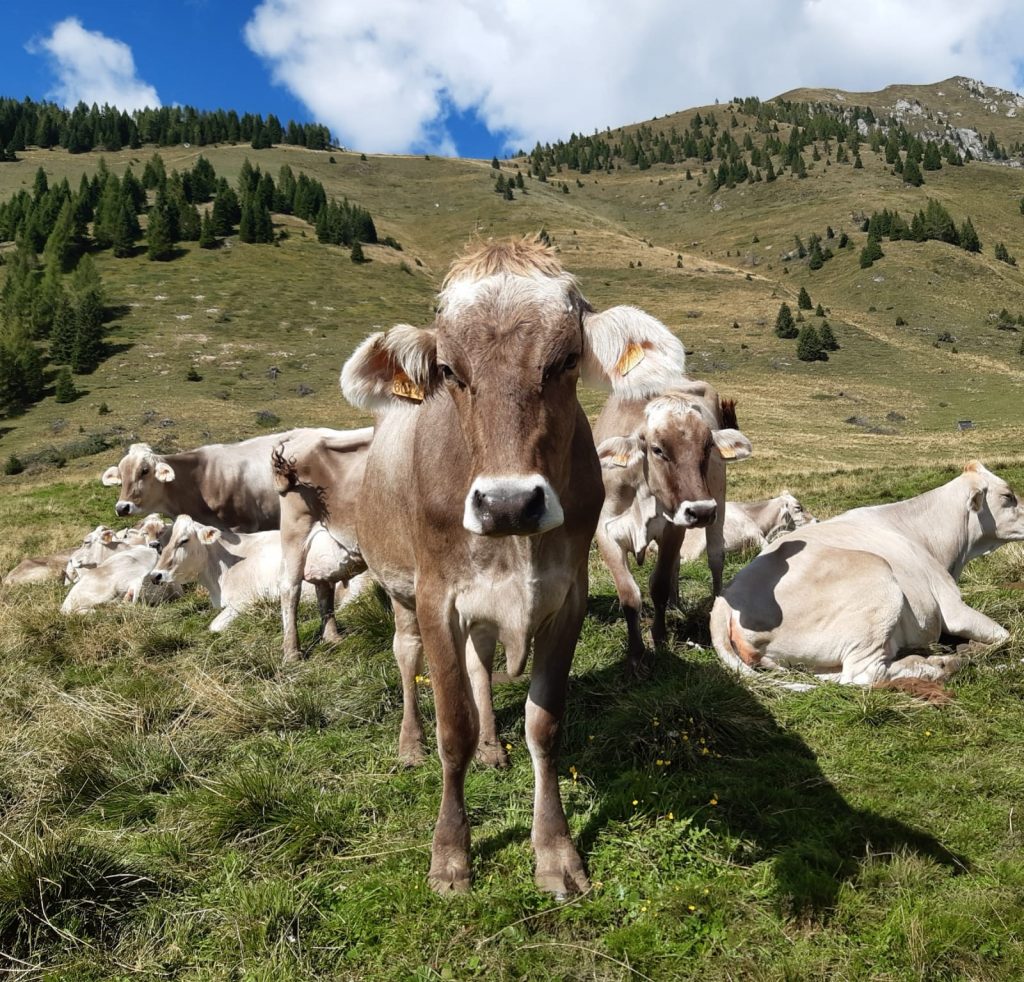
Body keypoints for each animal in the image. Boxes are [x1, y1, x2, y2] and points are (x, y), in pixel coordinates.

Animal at [271, 427, 373, 663]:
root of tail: (302, 432)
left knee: (324, 584)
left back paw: (332, 637)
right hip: (296, 527)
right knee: (290, 586)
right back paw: (292, 652)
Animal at [340, 237, 686, 896]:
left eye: (566, 360)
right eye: (450, 372)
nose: (507, 503)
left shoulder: (565, 596)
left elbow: (543, 725)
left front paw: (555, 852)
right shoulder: (438, 598)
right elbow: (452, 727)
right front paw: (451, 855)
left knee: (481, 664)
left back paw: (492, 747)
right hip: (399, 589)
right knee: (406, 657)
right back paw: (409, 742)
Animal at [593, 382, 752, 674]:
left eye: (707, 446)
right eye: (657, 449)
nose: (701, 511)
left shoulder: (673, 529)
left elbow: (659, 585)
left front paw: (659, 637)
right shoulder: (606, 532)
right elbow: (629, 594)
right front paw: (636, 655)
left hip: (718, 499)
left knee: (715, 557)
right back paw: (675, 604)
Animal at [711, 462, 1024, 687]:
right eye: (1008, 496)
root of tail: (725, 599)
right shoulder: (952, 607)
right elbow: (1007, 635)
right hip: (878, 580)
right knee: (864, 676)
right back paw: (941, 665)